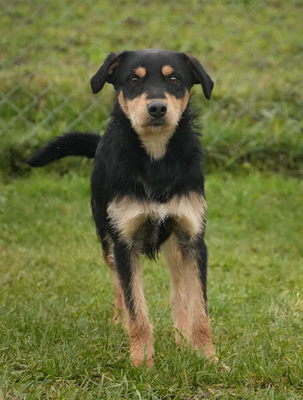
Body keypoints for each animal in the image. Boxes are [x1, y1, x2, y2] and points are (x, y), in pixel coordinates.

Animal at [28, 48, 217, 368]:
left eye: (174, 79)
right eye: (133, 80)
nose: (157, 108)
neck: (156, 159)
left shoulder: (193, 238)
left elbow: (199, 308)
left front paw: (209, 359)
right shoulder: (124, 242)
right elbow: (135, 306)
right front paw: (142, 363)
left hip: (175, 246)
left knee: (178, 290)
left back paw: (182, 339)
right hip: (107, 241)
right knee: (119, 285)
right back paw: (121, 325)